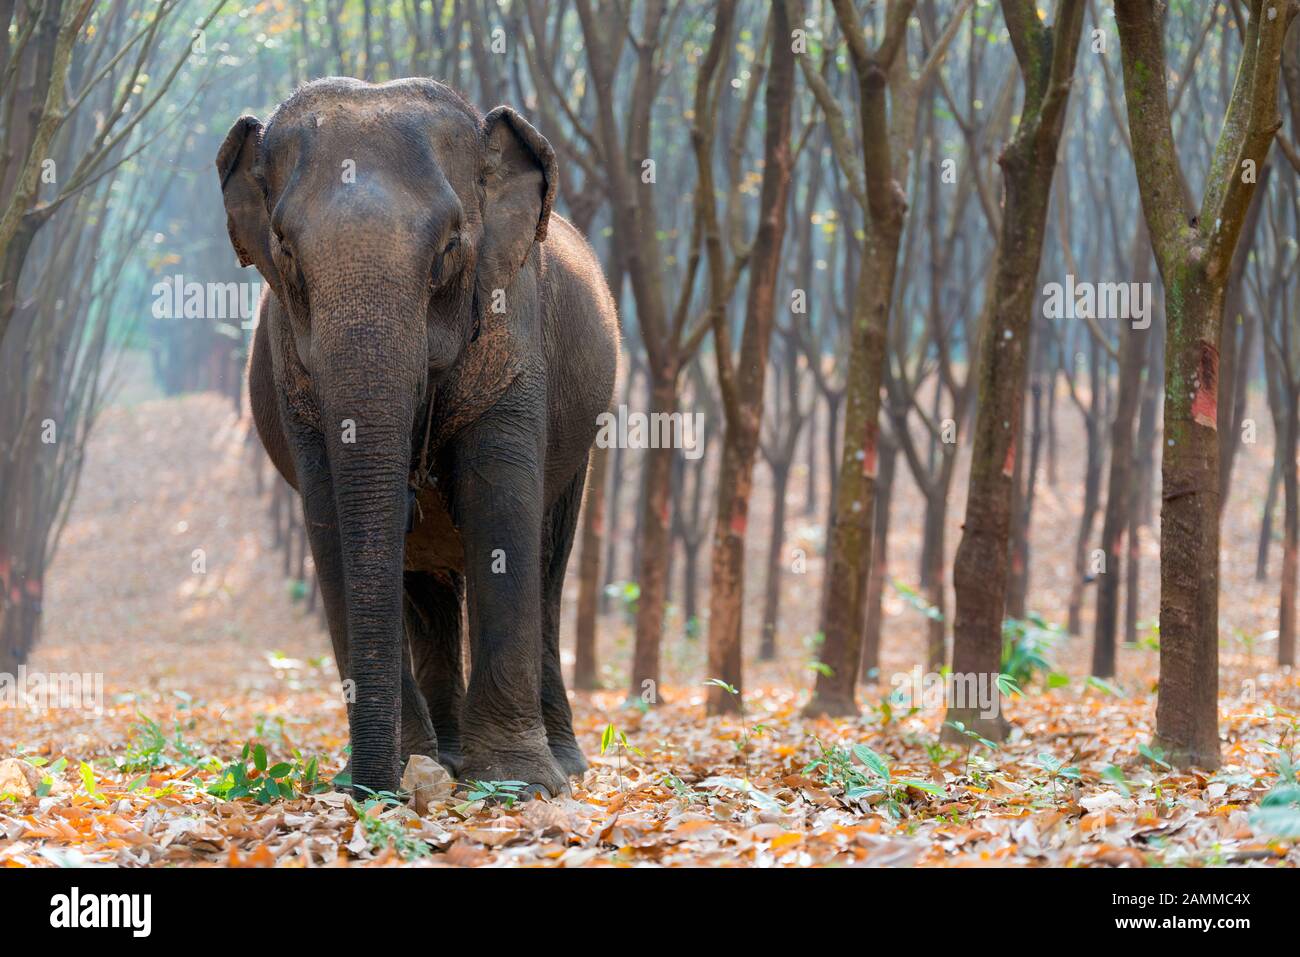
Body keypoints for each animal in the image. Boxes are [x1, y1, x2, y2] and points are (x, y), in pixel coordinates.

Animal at [214, 74, 618, 795]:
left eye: (450, 246)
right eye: (284, 248)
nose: (370, 792)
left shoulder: (514, 333)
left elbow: (500, 512)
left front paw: (516, 786)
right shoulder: (294, 378)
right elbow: (331, 523)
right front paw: (404, 773)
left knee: (548, 564)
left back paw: (561, 765)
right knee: (428, 582)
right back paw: (444, 761)